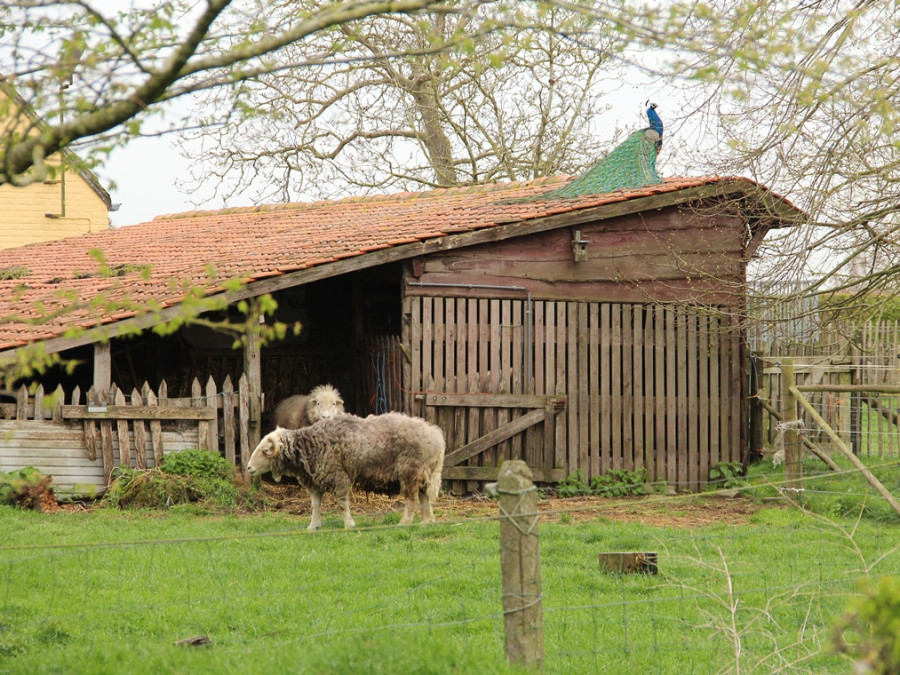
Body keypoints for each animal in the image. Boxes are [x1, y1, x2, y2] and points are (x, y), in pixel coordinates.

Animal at [248, 410, 444, 532]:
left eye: (265, 450)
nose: (249, 468)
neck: (311, 446)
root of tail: (437, 437)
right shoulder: (315, 480)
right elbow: (315, 505)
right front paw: (313, 526)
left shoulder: (338, 477)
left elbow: (342, 504)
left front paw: (349, 524)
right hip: (423, 472)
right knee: (424, 497)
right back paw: (427, 522)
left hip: (410, 471)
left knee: (411, 500)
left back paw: (404, 524)